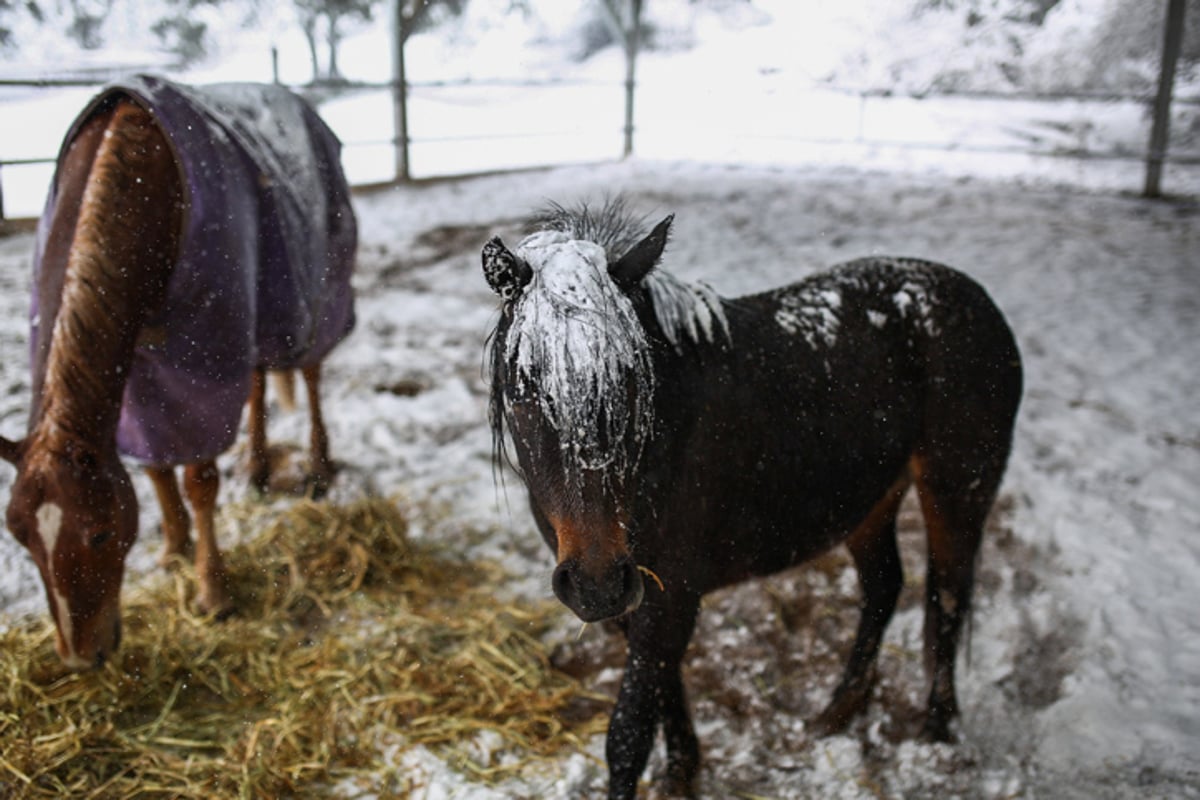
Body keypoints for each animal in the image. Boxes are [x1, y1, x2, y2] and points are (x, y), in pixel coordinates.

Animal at [0, 77, 355, 671]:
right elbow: (155, 467)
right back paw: (257, 466)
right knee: (257, 379)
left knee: (308, 372)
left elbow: (198, 478)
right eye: (21, 536)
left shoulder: (205, 349)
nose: (80, 658)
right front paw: (172, 550)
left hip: (313, 293)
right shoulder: (142, 370)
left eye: (100, 534)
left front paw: (212, 591)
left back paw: (320, 464)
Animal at [482, 200, 1027, 800]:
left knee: (947, 598)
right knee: (885, 586)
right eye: (523, 388)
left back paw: (937, 730)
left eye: (634, 383)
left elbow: (628, 736)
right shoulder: (640, 600)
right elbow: (665, 690)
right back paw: (838, 712)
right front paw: (683, 770)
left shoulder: (668, 596)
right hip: (869, 500)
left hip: (957, 492)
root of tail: (973, 295)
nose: (595, 583)